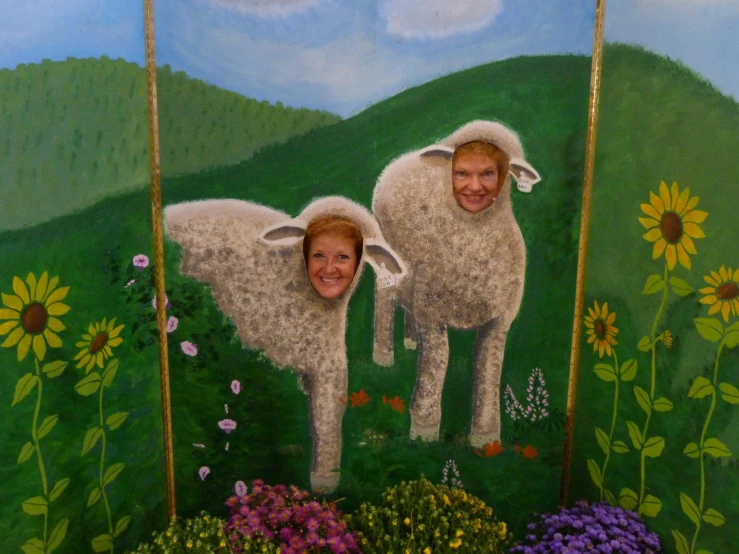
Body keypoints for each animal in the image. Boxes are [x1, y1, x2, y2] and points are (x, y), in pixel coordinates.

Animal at [376, 119, 544, 444]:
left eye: (492, 171)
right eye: (462, 171)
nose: (476, 190)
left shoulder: (499, 321)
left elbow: (488, 371)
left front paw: (486, 437)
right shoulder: (433, 314)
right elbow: (437, 362)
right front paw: (424, 428)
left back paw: (410, 339)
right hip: (387, 263)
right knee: (385, 303)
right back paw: (383, 356)